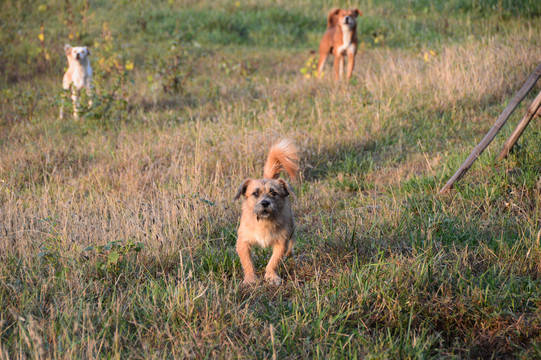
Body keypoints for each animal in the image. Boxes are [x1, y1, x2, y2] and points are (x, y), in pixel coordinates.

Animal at [233, 139, 300, 286]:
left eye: (273, 193)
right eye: (255, 193)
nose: (265, 203)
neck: (263, 222)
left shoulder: (281, 242)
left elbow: (273, 262)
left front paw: (271, 277)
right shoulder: (243, 242)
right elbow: (247, 262)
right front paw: (250, 279)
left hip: (291, 228)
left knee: (291, 242)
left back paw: (290, 254)